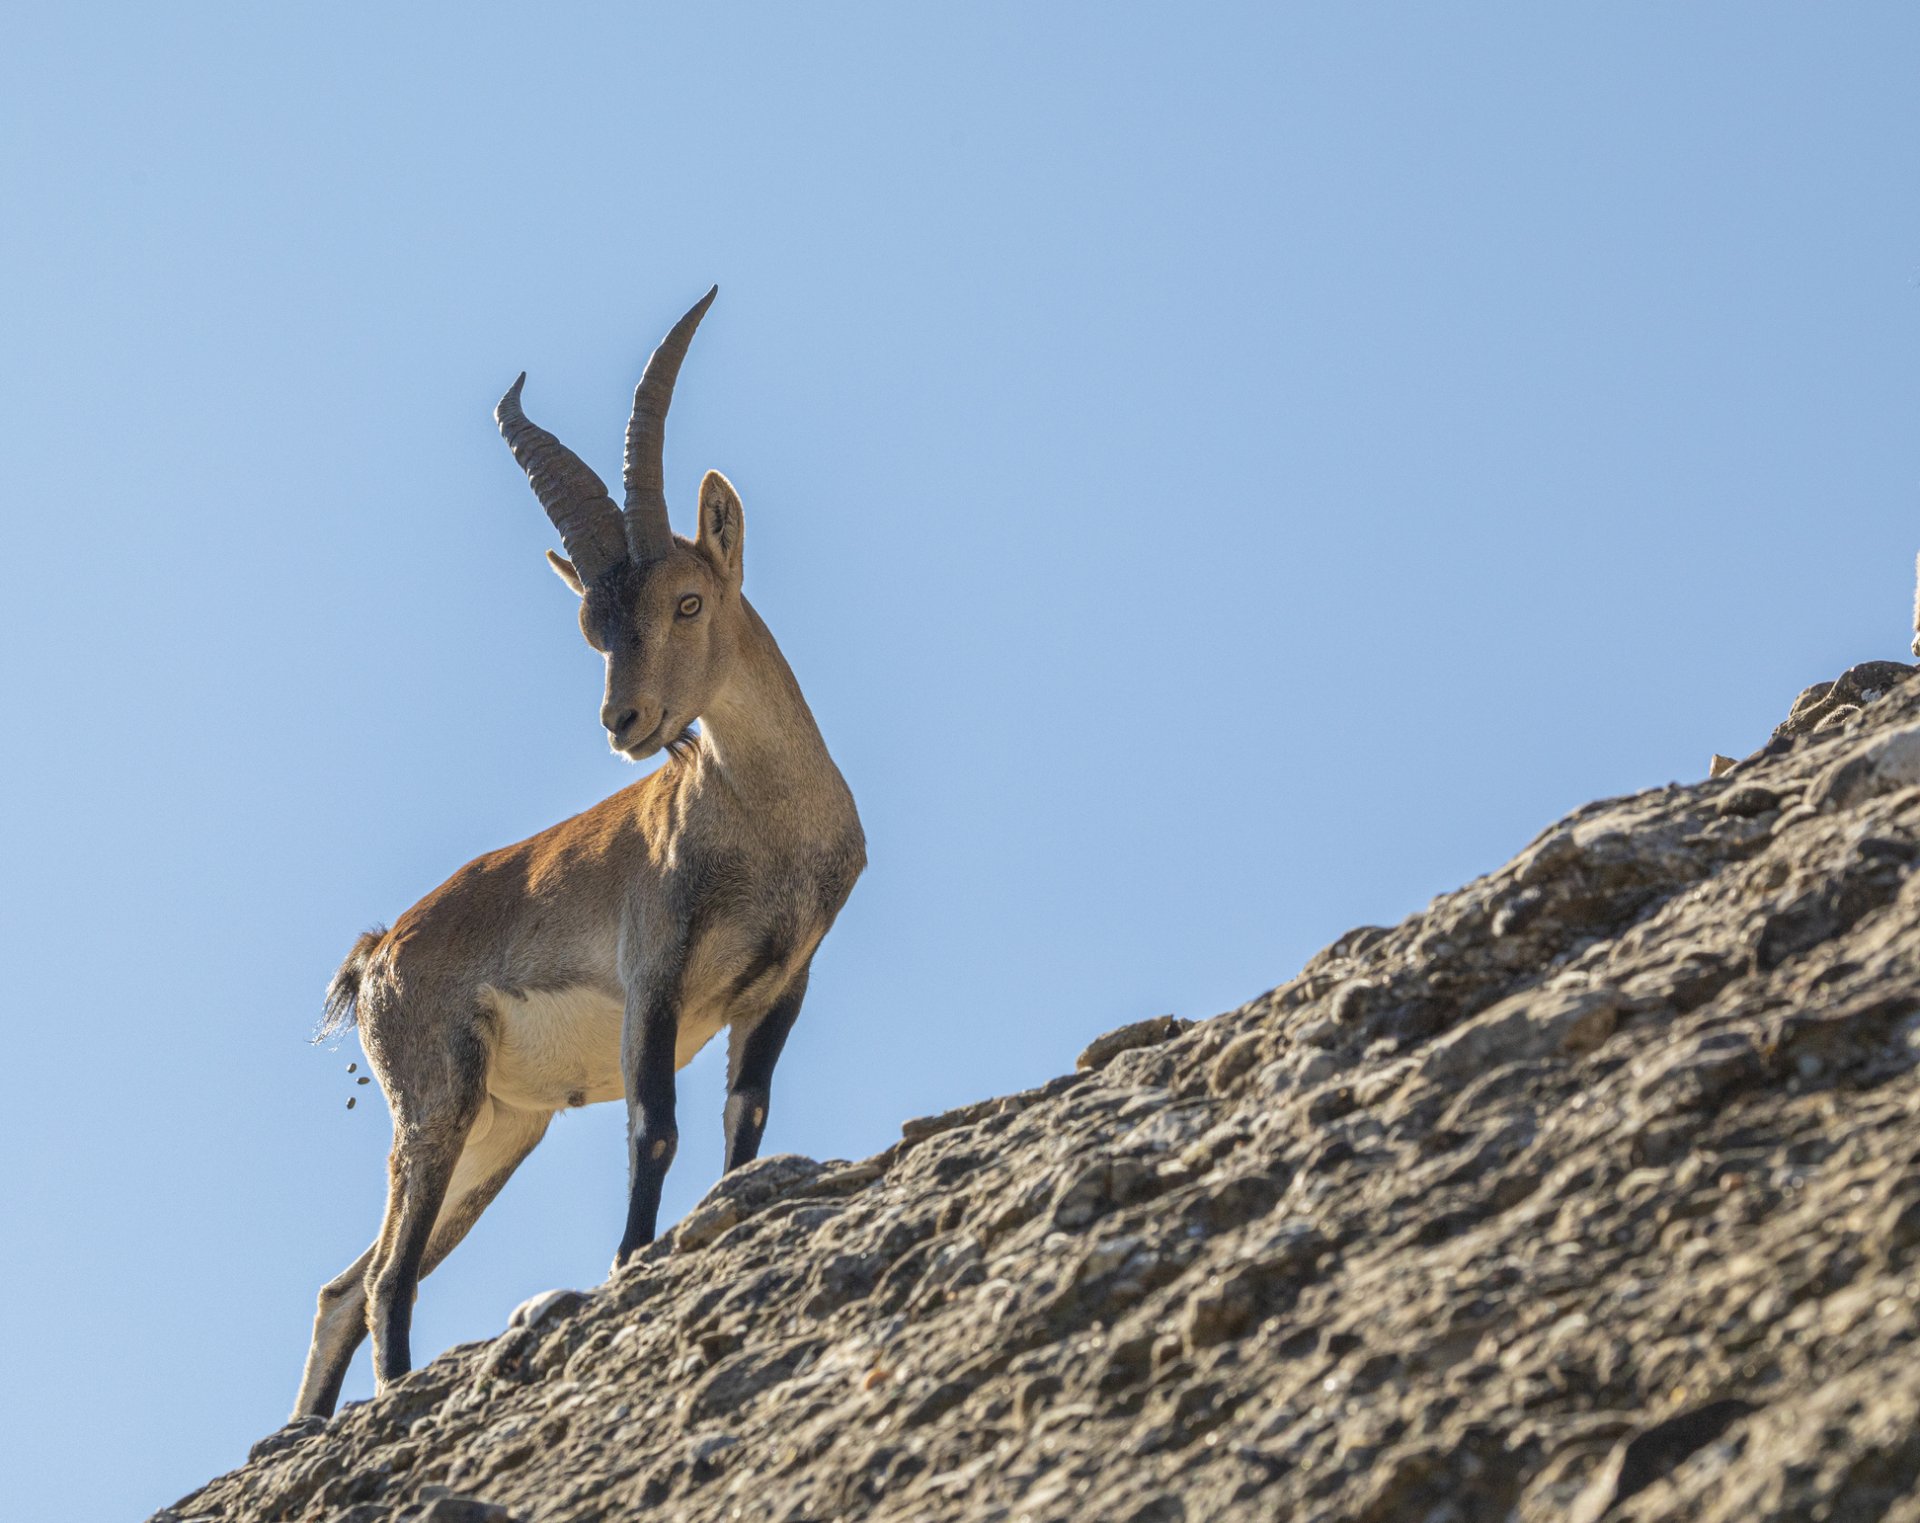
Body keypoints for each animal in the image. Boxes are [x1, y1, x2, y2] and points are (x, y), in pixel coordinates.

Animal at [291, 291, 864, 1421]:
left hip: (499, 1130)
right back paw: (399, 1389)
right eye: (594, 625)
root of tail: (379, 952)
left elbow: (744, 1119)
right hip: (437, 1098)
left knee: (345, 1284)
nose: (626, 722)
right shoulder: (656, 973)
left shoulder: (782, 982)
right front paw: (630, 1261)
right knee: (383, 1278)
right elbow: (653, 1124)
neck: (765, 826)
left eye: (687, 600)